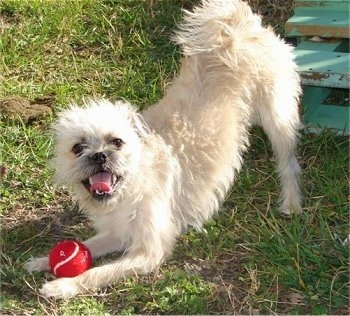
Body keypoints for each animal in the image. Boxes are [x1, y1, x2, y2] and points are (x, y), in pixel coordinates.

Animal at [26, 0, 302, 298]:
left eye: (117, 142)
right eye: (78, 148)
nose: (99, 155)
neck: (133, 185)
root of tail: (238, 24)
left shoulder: (148, 252)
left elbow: (97, 273)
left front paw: (63, 285)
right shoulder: (118, 232)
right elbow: (90, 245)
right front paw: (43, 261)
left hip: (278, 116)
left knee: (288, 162)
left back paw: (291, 202)